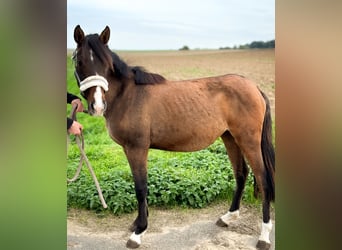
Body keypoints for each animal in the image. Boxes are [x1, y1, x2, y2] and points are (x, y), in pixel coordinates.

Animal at [72, 25, 276, 250]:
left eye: (106, 65)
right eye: (80, 61)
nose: (98, 106)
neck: (128, 95)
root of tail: (255, 88)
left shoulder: (137, 148)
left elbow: (141, 187)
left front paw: (139, 232)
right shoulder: (130, 149)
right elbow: (140, 185)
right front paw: (139, 222)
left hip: (248, 140)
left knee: (263, 179)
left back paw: (264, 236)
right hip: (230, 137)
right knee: (241, 174)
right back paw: (228, 217)